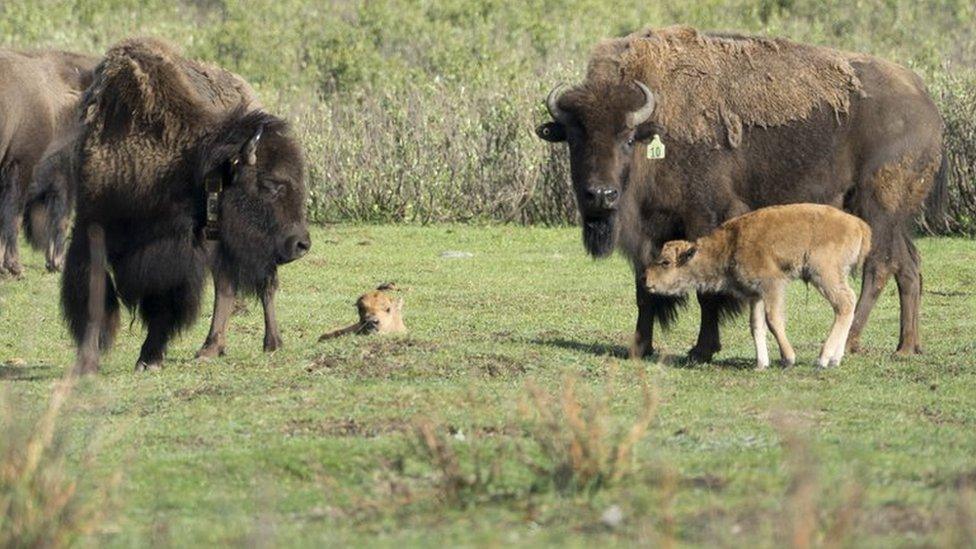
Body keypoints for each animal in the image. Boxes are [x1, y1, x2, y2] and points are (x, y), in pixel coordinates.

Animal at [66, 38, 308, 372]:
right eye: (270, 184)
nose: (302, 244)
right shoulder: (90, 229)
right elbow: (94, 295)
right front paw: (86, 363)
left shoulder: (175, 252)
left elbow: (164, 299)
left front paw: (149, 358)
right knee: (229, 285)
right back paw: (212, 347)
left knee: (259, 283)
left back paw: (269, 342)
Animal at [648, 203, 868, 370]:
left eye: (666, 262)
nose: (647, 281)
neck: (729, 245)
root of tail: (858, 225)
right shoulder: (755, 295)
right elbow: (756, 325)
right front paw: (761, 364)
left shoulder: (773, 286)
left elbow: (773, 320)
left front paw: (788, 359)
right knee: (848, 303)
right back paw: (835, 359)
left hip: (823, 275)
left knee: (844, 304)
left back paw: (823, 359)